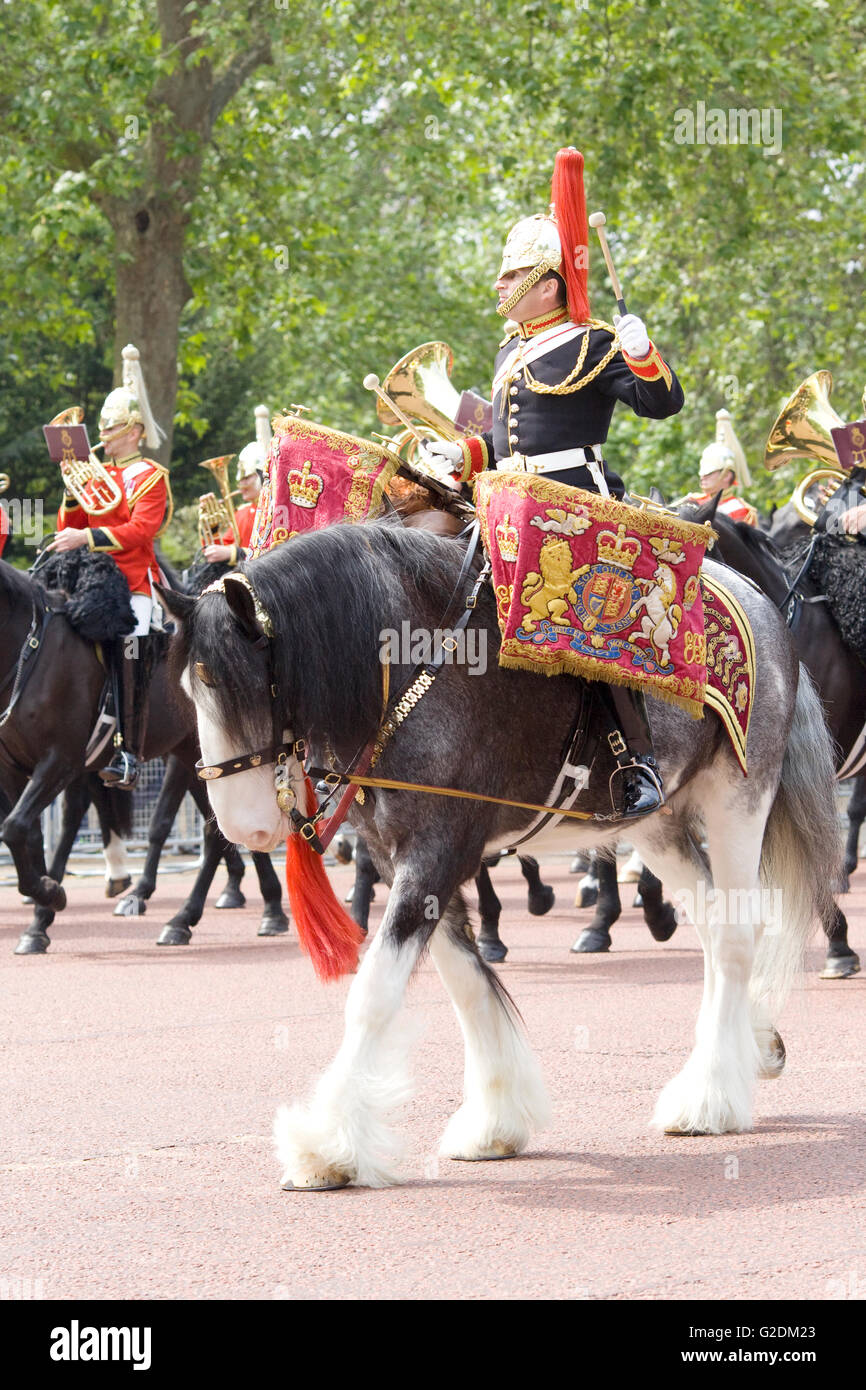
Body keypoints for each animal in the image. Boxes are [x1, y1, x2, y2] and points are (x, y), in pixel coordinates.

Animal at [164, 517, 839, 1189]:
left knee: (736, 934)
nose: (243, 826)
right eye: (189, 688)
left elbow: (376, 994)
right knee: (713, 924)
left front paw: (326, 1145)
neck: (407, 668)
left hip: (736, 800)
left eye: (231, 681)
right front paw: (495, 1121)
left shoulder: (435, 852)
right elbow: (465, 981)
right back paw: (753, 1045)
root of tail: (763, 603)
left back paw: (710, 1099)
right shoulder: (404, 856)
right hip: (660, 825)